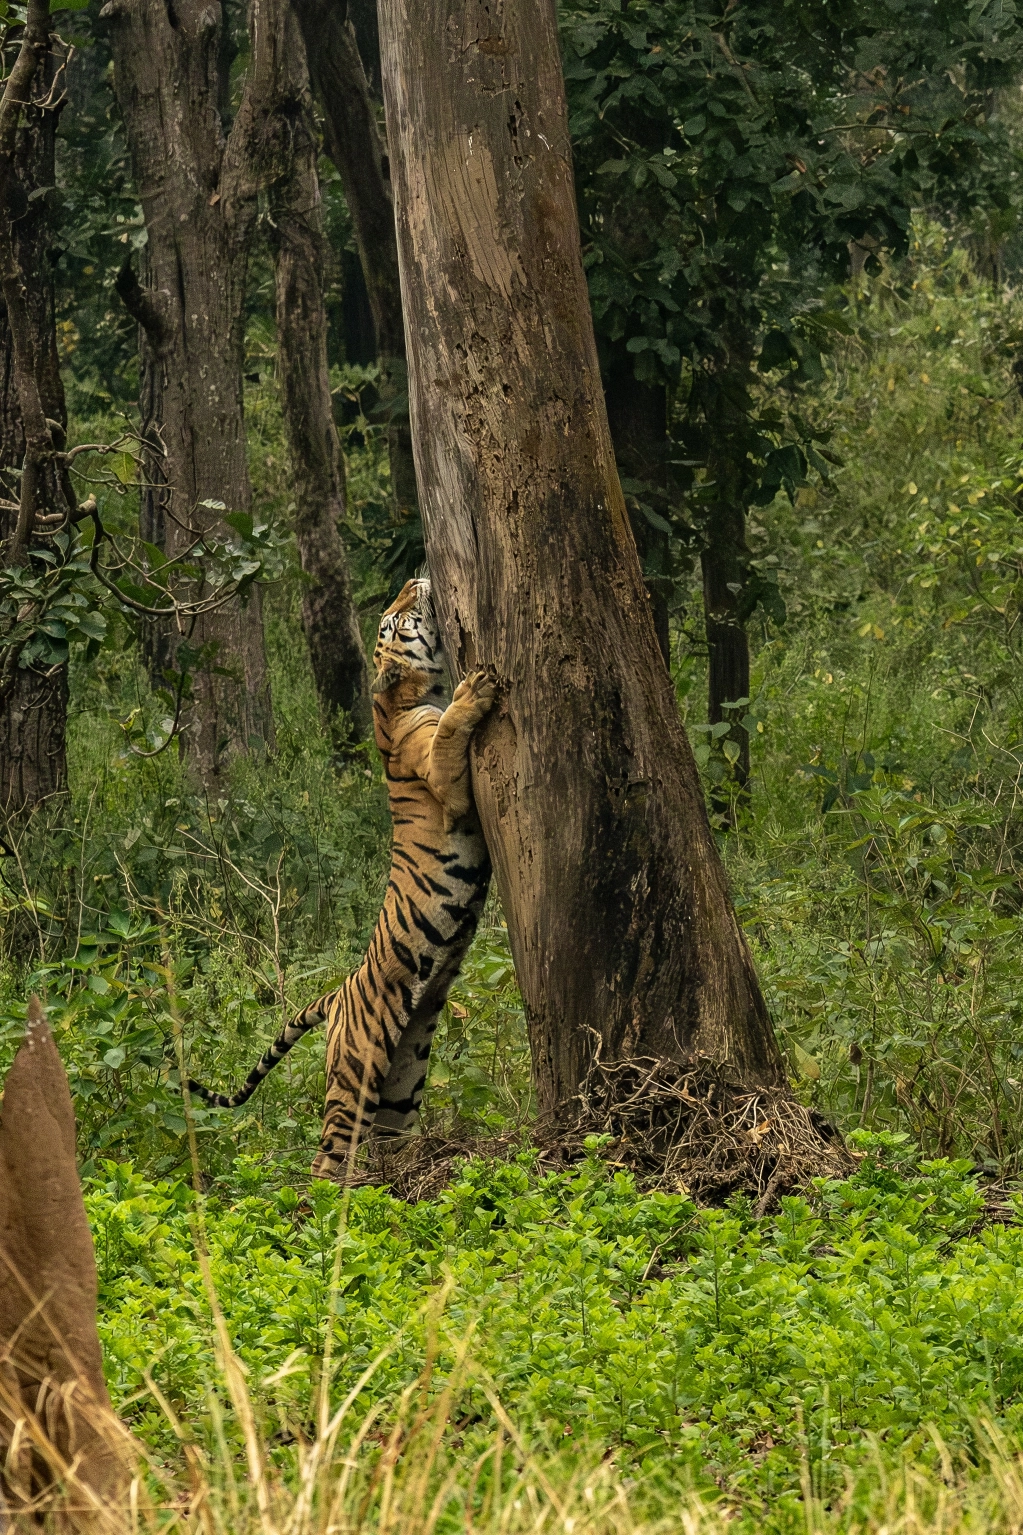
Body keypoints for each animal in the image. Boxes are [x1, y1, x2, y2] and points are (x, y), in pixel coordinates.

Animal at [187, 577, 497, 1183]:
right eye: (393, 623)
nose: (415, 581)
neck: (399, 701)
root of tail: (336, 993)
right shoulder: (448, 784)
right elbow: (452, 728)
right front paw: (476, 689)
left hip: (406, 1069)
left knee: (387, 1135)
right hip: (358, 1069)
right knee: (327, 1154)